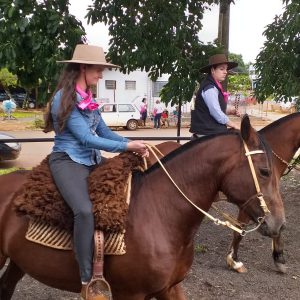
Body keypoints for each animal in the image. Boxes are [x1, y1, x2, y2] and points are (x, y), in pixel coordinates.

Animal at [0, 115, 286, 300]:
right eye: (264, 171)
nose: (279, 224)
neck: (160, 213)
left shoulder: (170, 288)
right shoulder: (131, 294)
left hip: (17, 262)